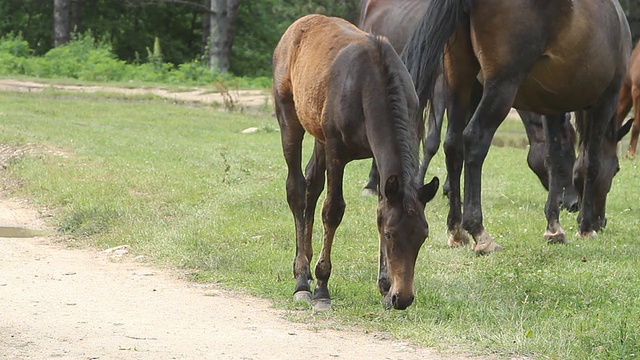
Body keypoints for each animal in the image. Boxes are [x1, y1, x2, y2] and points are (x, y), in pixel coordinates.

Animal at [270, 14, 440, 310]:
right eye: (391, 235)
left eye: (423, 236)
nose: (403, 298)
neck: (369, 87)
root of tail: (296, 27)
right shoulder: (337, 151)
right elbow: (333, 210)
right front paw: (322, 288)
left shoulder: (379, 163)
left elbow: (380, 208)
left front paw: (384, 287)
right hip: (289, 118)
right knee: (296, 189)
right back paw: (302, 279)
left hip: (318, 134)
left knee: (312, 183)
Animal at [360, 0, 580, 212]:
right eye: (567, 150)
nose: (573, 203)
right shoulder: (441, 87)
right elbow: (432, 141)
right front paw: (420, 182)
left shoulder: (475, 89)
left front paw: (451, 189)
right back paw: (371, 184)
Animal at [402, 0, 632, 253]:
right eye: (616, 169)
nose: (602, 221)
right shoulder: (605, 101)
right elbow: (591, 162)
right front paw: (586, 227)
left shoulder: (552, 105)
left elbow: (554, 159)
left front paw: (554, 227)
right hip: (501, 86)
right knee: (474, 139)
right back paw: (479, 233)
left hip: (461, 82)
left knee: (453, 145)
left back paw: (456, 230)